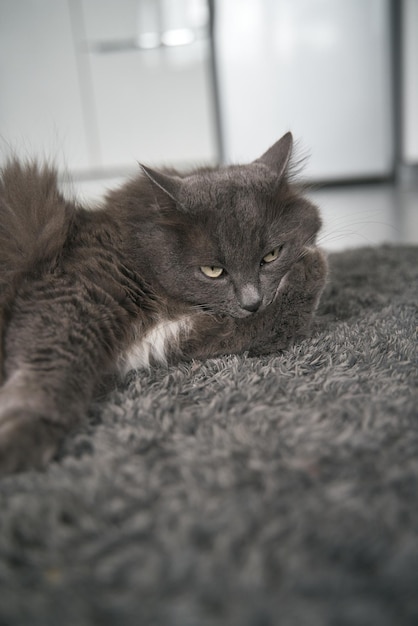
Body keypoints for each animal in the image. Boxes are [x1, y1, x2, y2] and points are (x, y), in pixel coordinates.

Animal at [0, 133, 326, 472]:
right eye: (213, 271)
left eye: (271, 255)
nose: (252, 302)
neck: (141, 258)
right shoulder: (71, 291)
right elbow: (51, 361)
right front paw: (21, 437)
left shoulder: (165, 339)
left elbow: (262, 326)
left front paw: (311, 266)